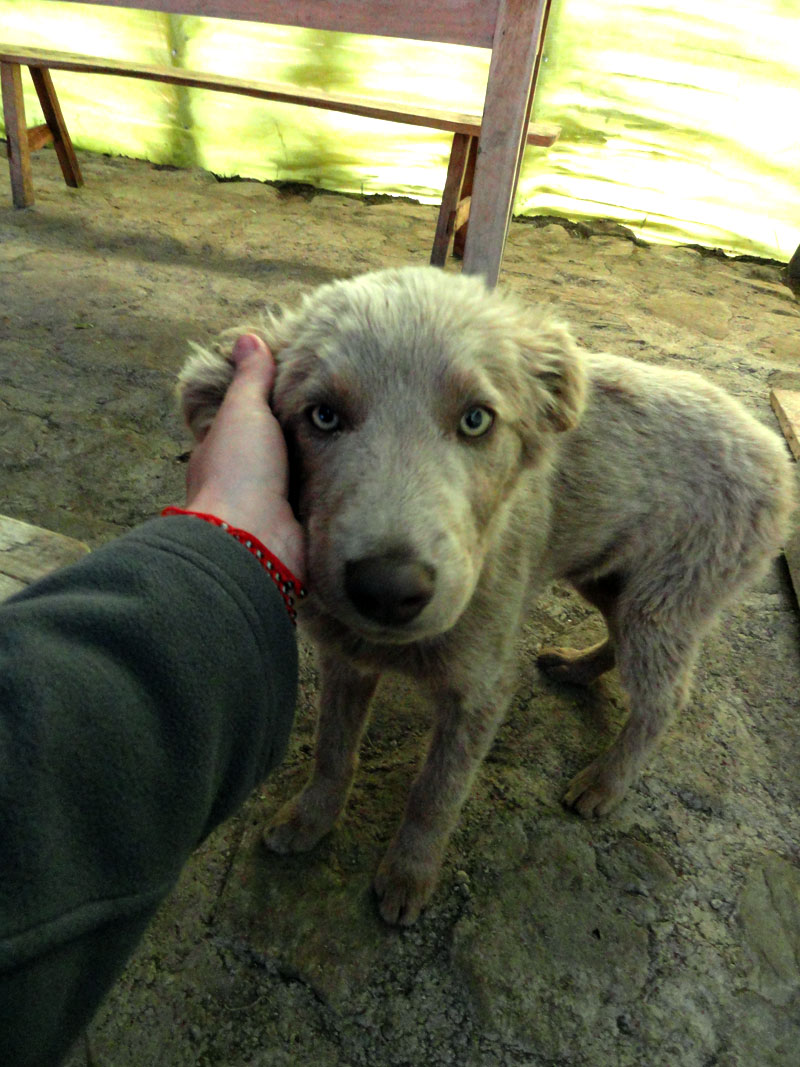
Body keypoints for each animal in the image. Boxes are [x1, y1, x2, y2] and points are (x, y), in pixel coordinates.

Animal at [178, 266, 794, 925]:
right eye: (321, 416)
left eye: (477, 420)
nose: (389, 590)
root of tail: (772, 449)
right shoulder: (345, 660)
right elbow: (333, 750)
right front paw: (310, 819)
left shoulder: (482, 688)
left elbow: (436, 791)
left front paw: (409, 875)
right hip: (609, 578)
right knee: (618, 641)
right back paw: (577, 668)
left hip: (665, 604)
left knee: (664, 699)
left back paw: (605, 783)